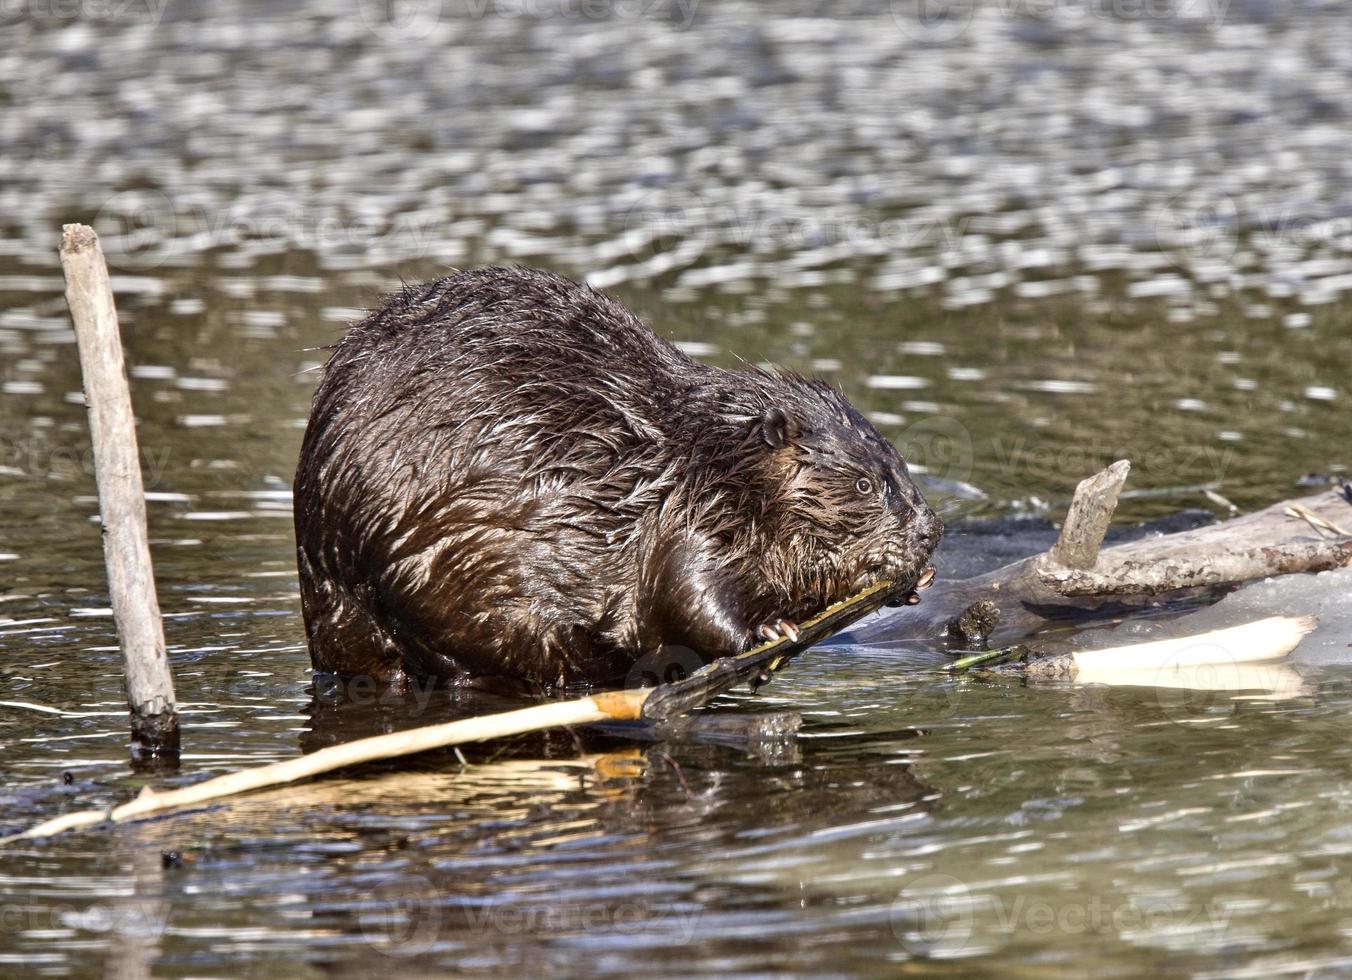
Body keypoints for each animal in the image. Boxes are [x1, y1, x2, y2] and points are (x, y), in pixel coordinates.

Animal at [293, 263, 951, 683]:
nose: (930, 532)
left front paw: (914, 581)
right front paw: (769, 634)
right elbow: (687, 592)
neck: (696, 457)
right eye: (867, 483)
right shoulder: (694, 518)